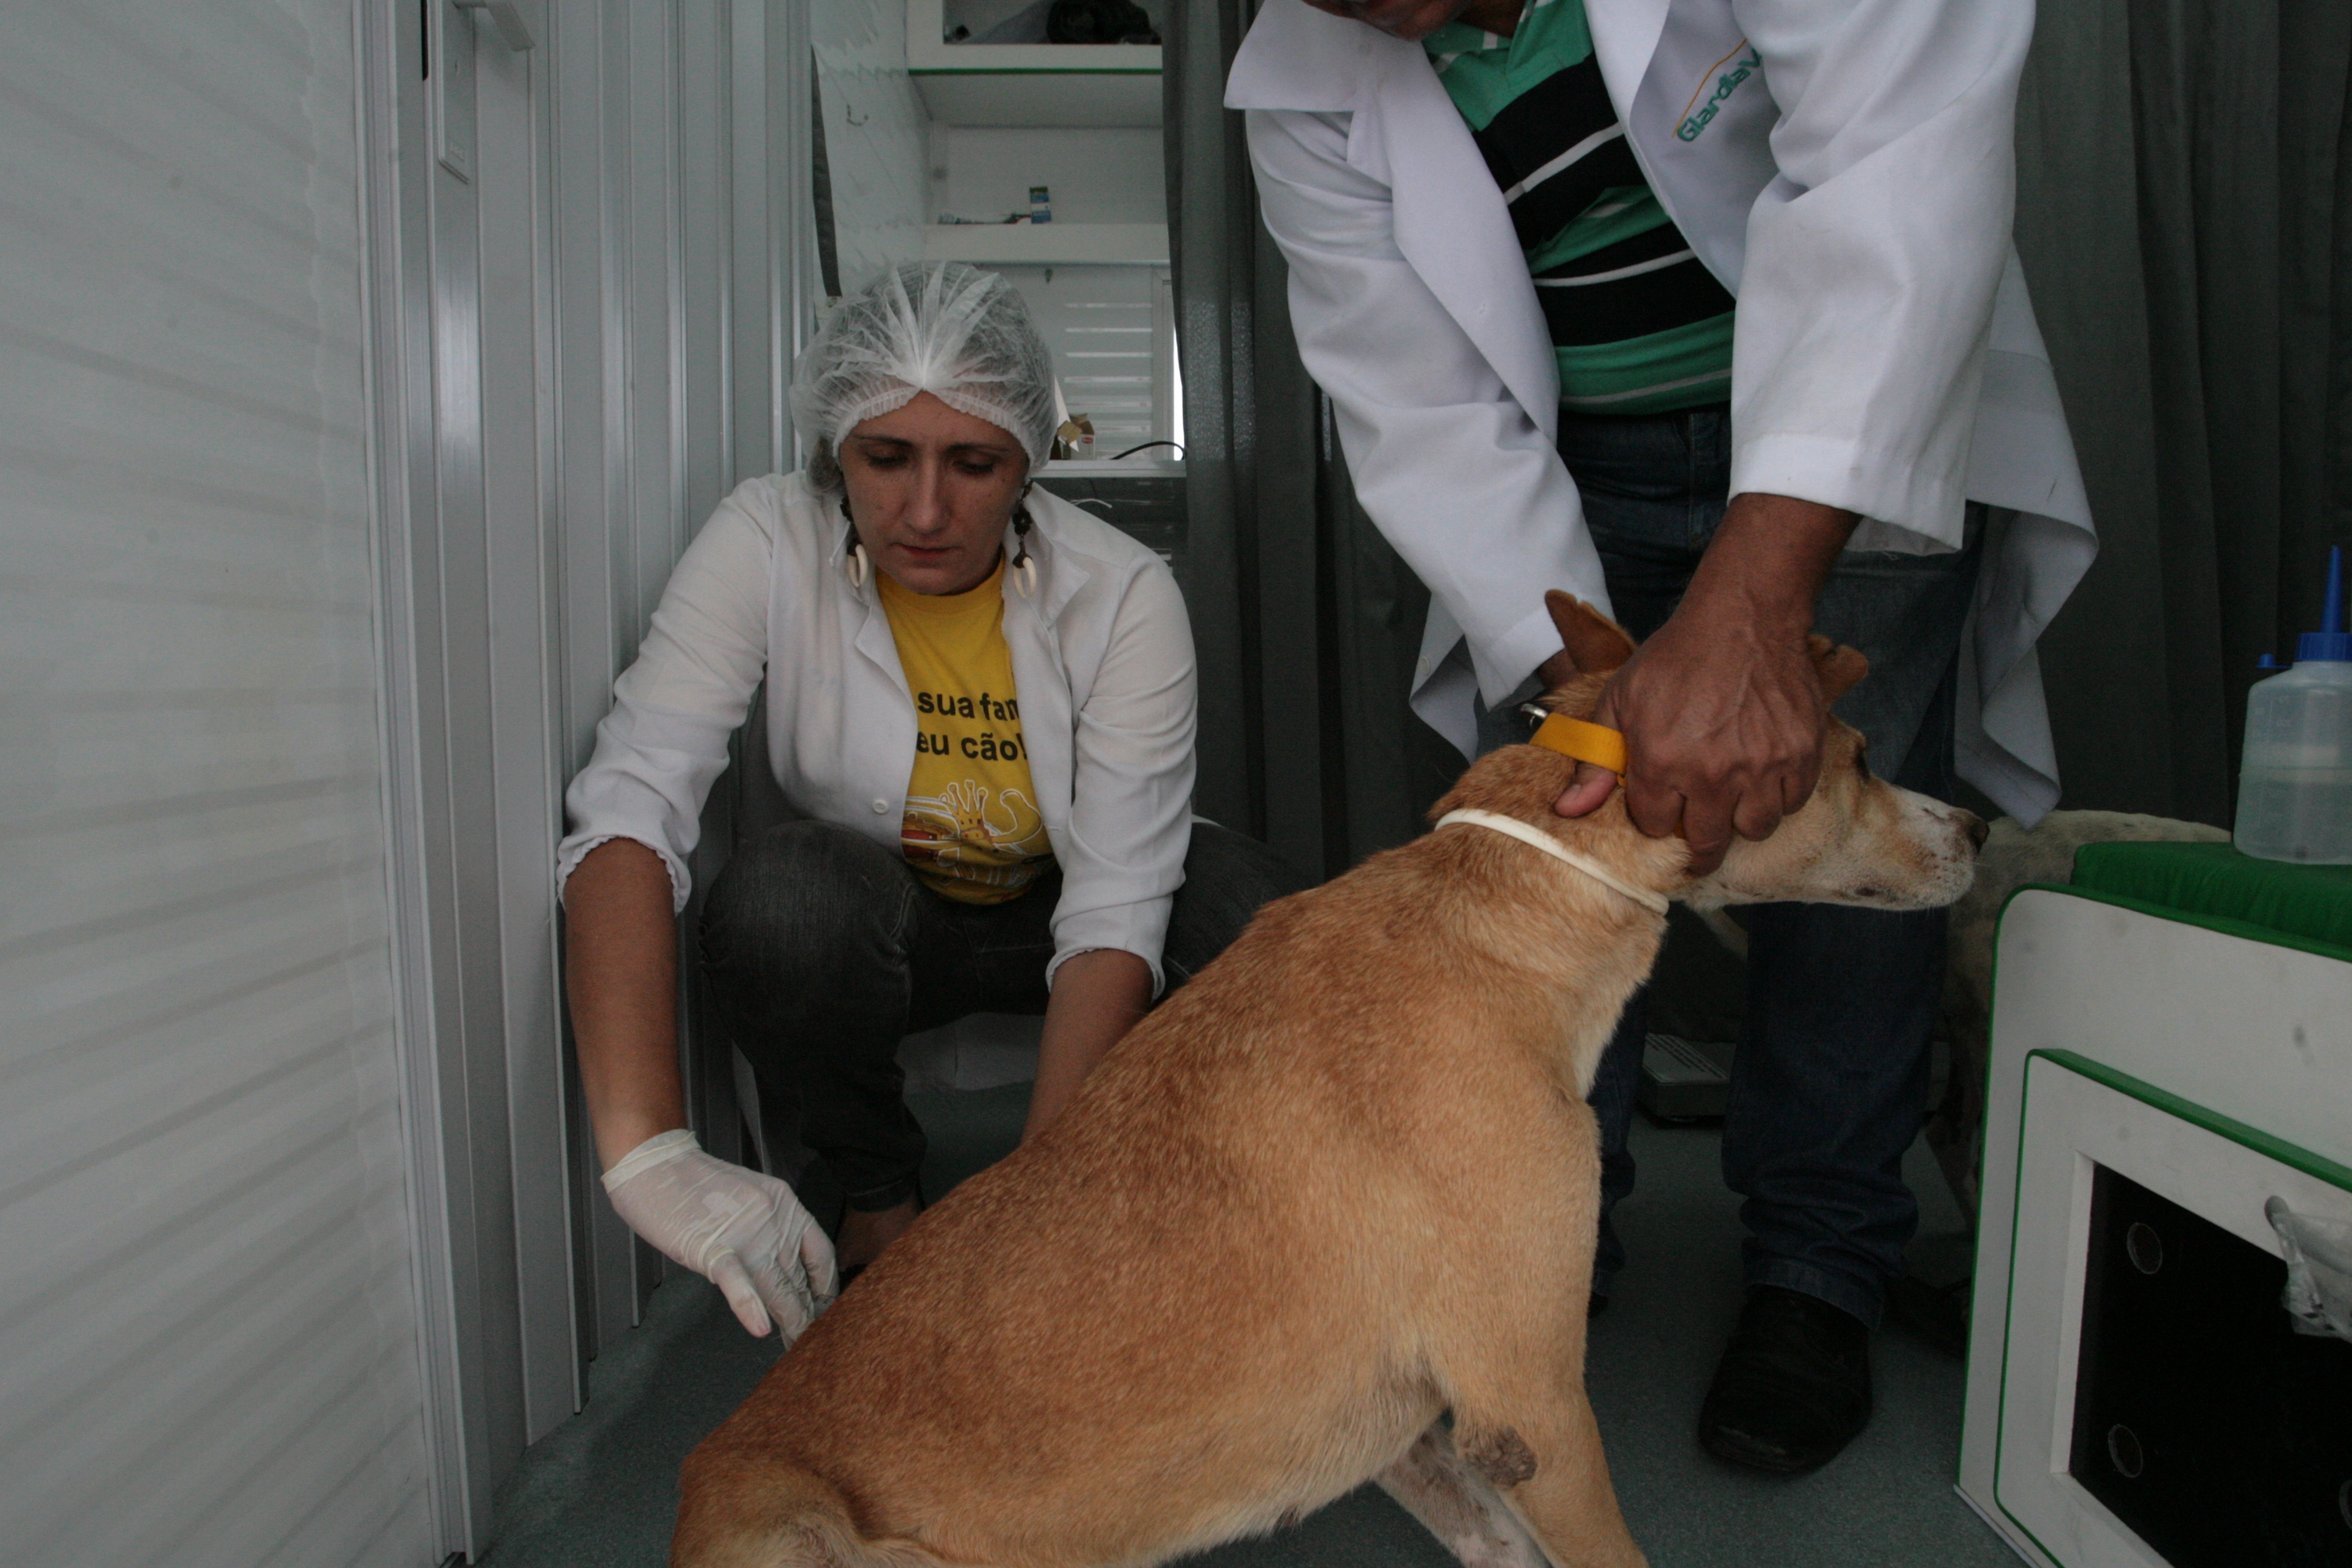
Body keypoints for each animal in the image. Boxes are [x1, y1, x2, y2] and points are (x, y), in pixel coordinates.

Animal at [677, 595, 1985, 1568]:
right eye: (1864, 758)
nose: (1976, 825)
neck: (1511, 916)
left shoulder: (1421, 1430)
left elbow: (1499, 1543)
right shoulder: (1533, 1406)